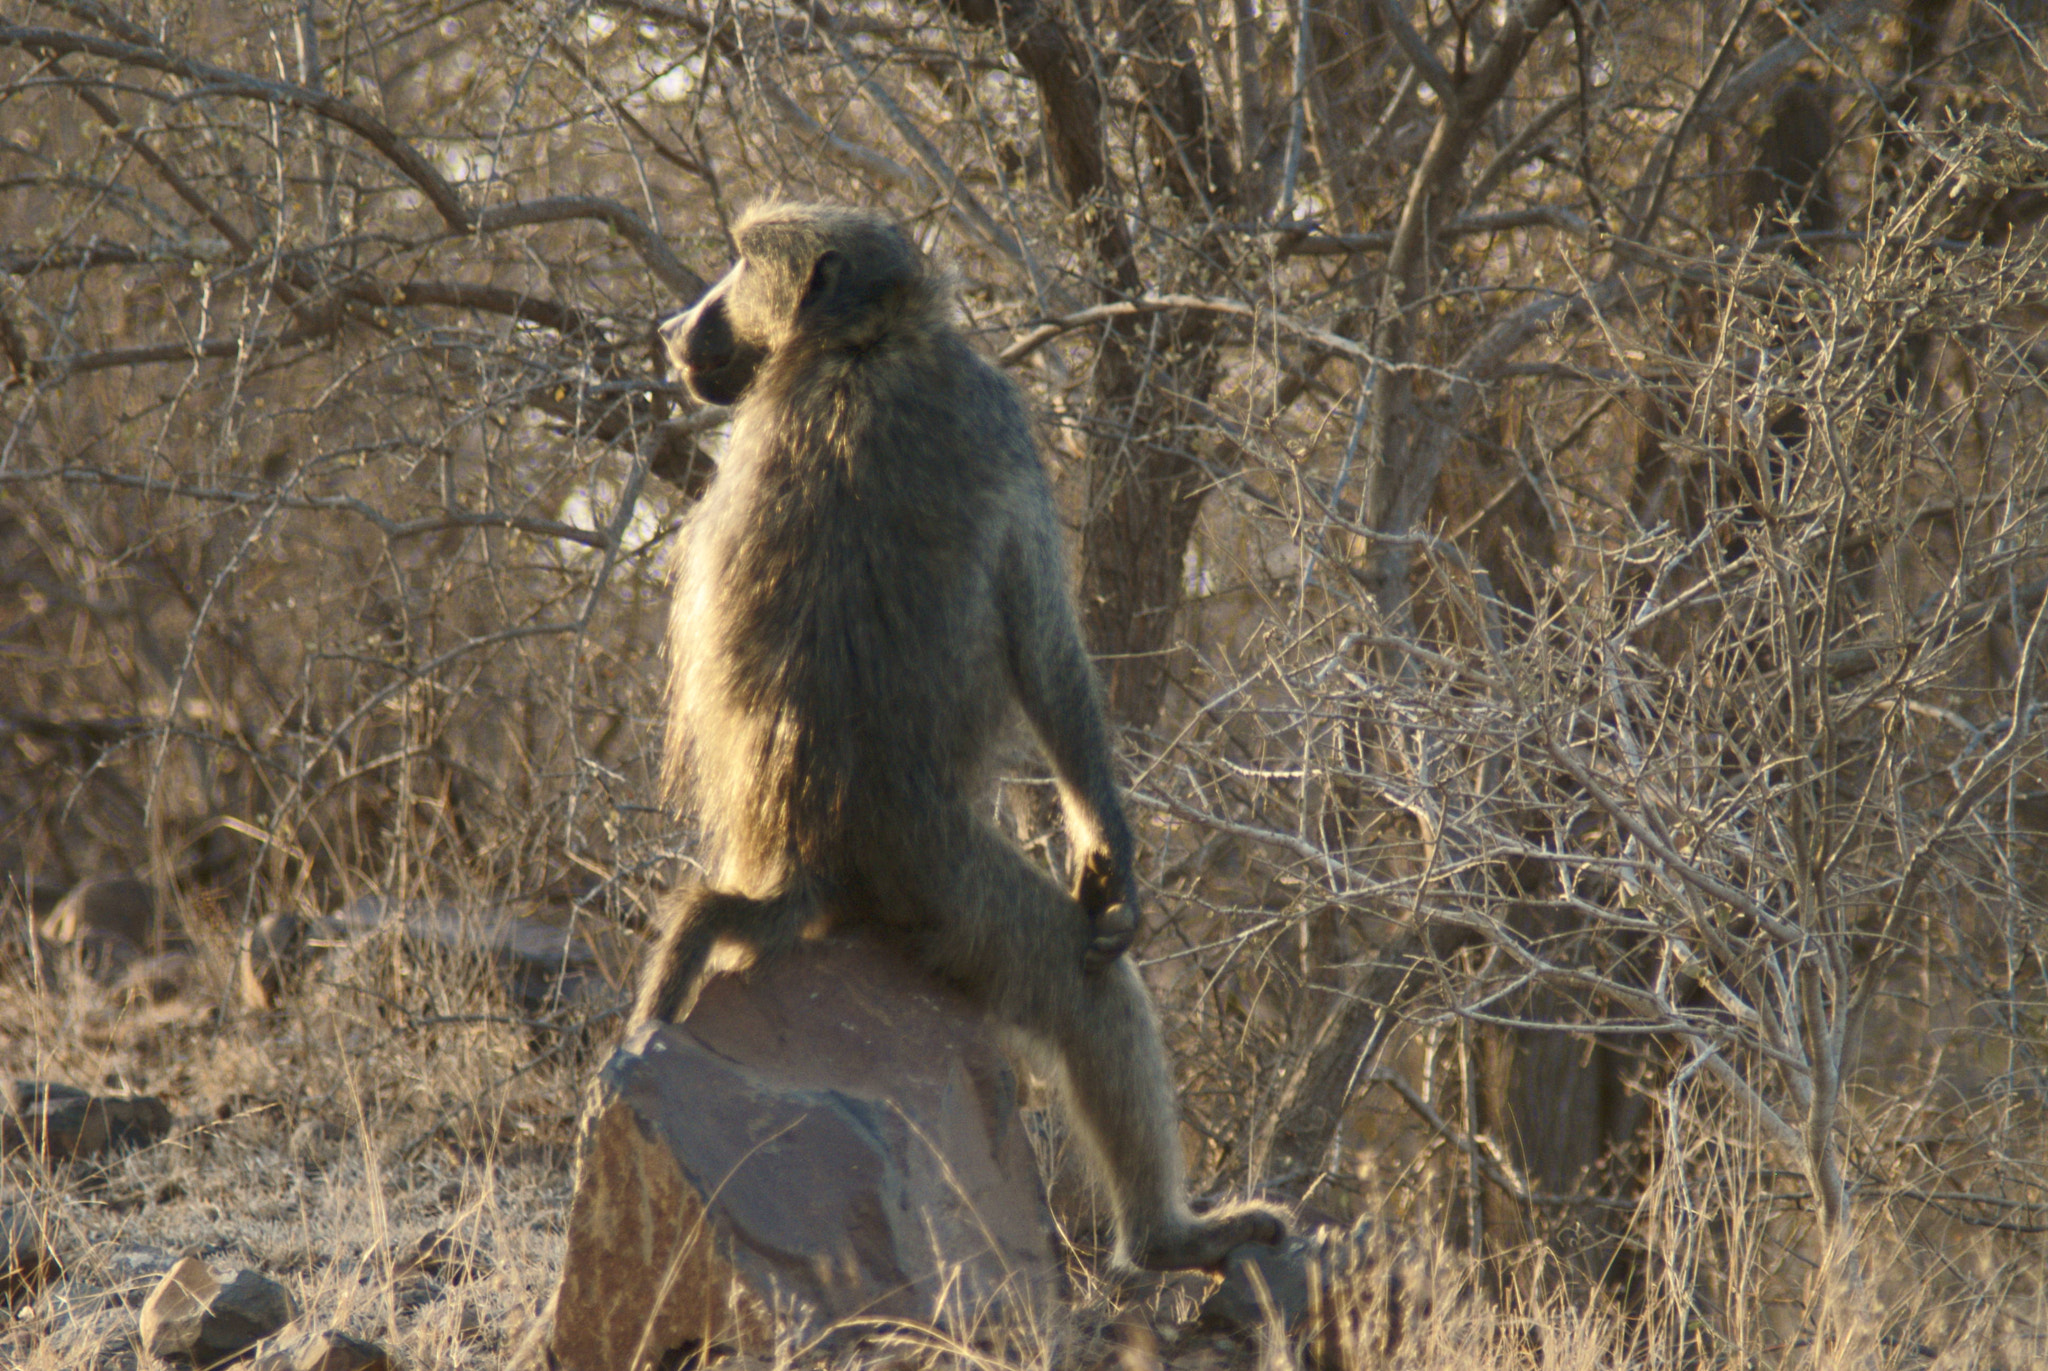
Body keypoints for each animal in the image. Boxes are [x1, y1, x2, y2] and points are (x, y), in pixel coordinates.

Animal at [633, 203, 1287, 1274]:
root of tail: (806, 858)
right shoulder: (999, 410)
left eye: (737, 260)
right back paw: (1167, 1239)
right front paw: (1111, 853)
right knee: (1087, 981)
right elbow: (1045, 644)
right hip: (942, 891)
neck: (859, 343)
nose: (675, 325)